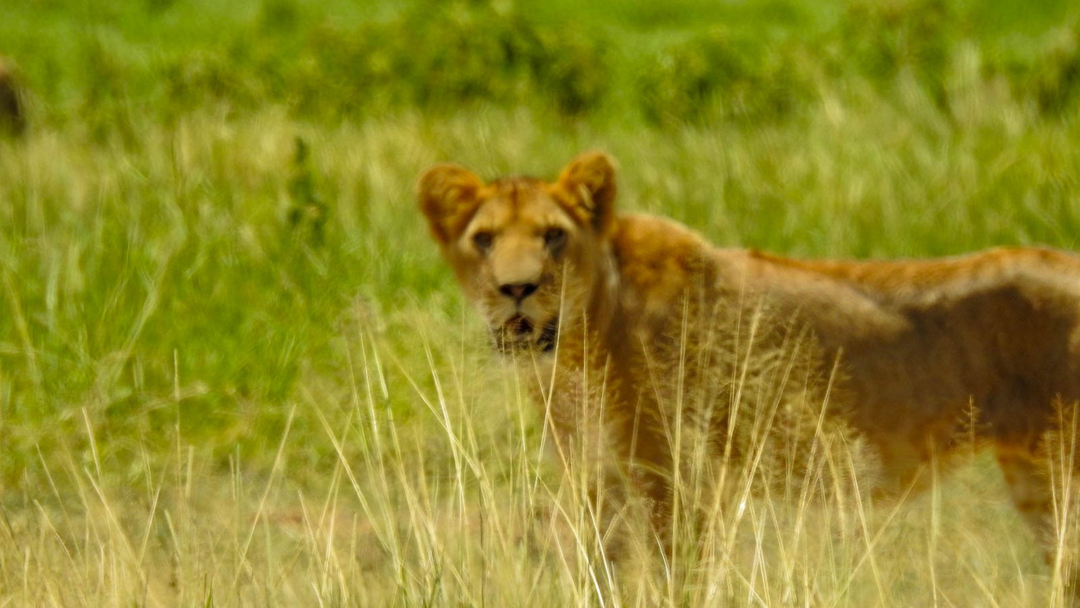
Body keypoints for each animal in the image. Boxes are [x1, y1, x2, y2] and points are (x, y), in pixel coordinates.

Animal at [417, 151, 1080, 567]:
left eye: (553, 235)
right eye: (484, 240)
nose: (518, 288)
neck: (576, 346)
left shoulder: (674, 476)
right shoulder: (601, 481)